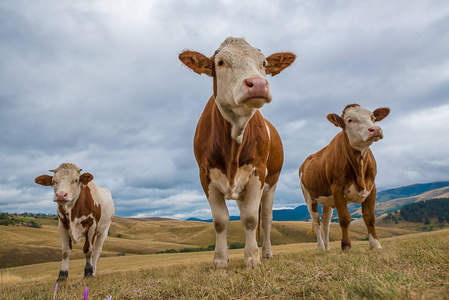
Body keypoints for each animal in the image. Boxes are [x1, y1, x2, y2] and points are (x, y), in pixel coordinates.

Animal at [178, 37, 294, 270]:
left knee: (266, 218)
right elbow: (220, 220)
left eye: (264, 63)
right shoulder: (205, 175)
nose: (258, 84)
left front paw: (252, 259)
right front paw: (220, 261)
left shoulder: (258, 172)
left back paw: (266, 253)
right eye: (221, 62)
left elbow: (250, 218)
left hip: (272, 183)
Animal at [298, 104, 388, 252]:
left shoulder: (372, 188)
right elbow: (345, 219)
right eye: (350, 120)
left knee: (326, 221)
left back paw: (327, 248)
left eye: (373, 118)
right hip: (309, 197)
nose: (375, 129)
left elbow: (369, 218)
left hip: (327, 199)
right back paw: (321, 248)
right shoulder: (337, 189)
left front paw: (376, 244)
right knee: (316, 221)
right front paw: (346, 246)